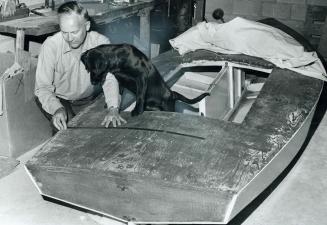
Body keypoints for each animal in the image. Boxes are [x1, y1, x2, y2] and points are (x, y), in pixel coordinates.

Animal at [82, 44, 210, 117]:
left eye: (95, 70)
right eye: (87, 69)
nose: (93, 82)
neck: (118, 57)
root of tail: (172, 93)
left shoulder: (141, 76)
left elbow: (140, 96)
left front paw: (137, 111)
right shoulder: (120, 80)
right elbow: (118, 94)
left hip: (167, 107)